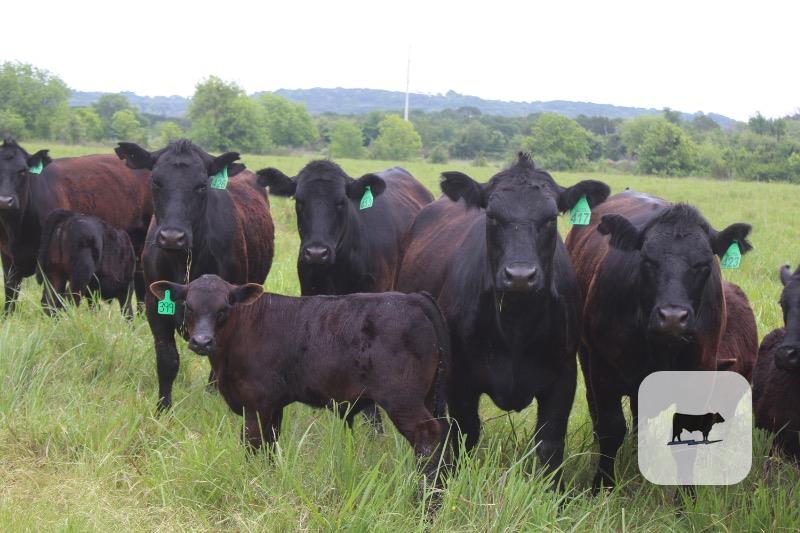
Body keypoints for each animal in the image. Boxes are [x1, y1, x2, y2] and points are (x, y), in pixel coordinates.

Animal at [114, 139, 275, 412]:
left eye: (202, 185)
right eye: (155, 180)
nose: (172, 236)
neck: (185, 260)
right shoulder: (154, 302)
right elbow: (167, 360)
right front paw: (163, 408)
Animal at [148, 274, 450, 485]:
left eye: (225, 307)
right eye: (188, 306)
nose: (201, 341)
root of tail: (413, 298)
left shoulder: (255, 404)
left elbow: (253, 446)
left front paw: (251, 479)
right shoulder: (273, 406)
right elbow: (270, 446)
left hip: (403, 400)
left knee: (428, 437)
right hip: (426, 396)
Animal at [396, 152, 610, 484]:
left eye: (551, 218)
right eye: (492, 216)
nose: (520, 276)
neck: (516, 327)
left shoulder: (564, 375)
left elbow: (549, 442)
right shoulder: (460, 378)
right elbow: (465, 434)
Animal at [565, 190, 755, 489]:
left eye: (703, 264)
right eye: (647, 259)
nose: (673, 317)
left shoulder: (699, 373)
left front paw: (687, 497)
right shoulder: (604, 368)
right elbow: (610, 428)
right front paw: (602, 485)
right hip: (586, 355)